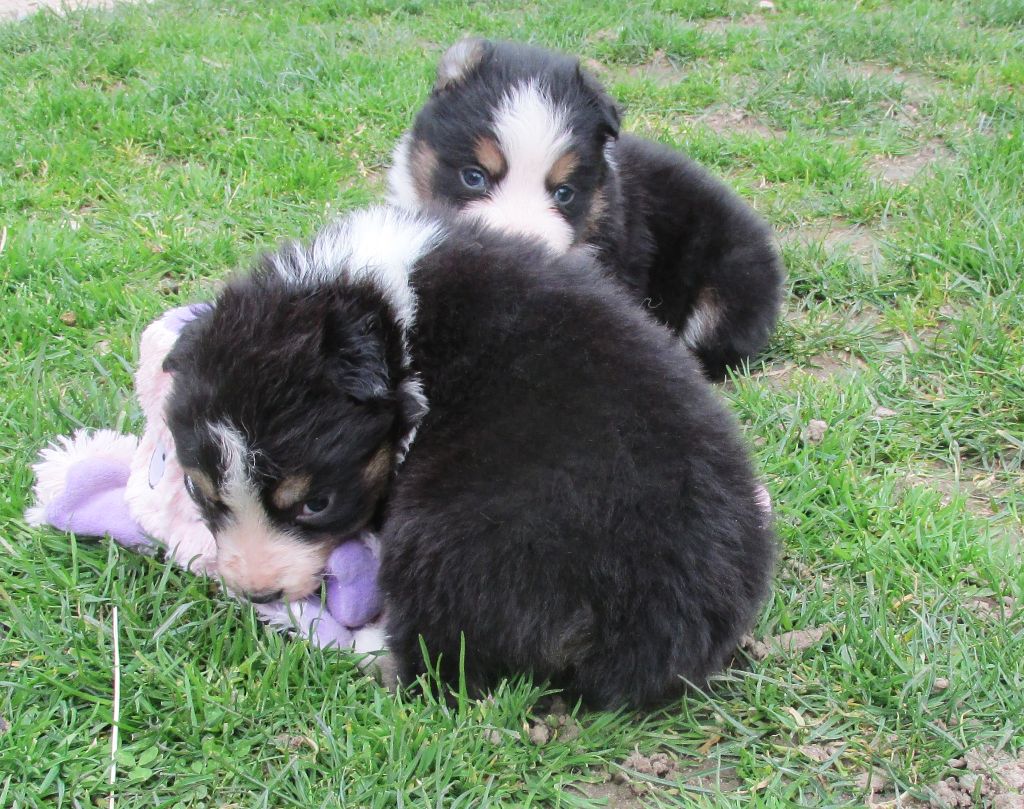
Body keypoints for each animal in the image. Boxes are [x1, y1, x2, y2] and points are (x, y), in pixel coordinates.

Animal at [165, 206, 776, 708]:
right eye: (198, 490)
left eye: (317, 503)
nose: (255, 594)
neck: (381, 316)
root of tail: (646, 627)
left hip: (446, 536)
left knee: (438, 666)